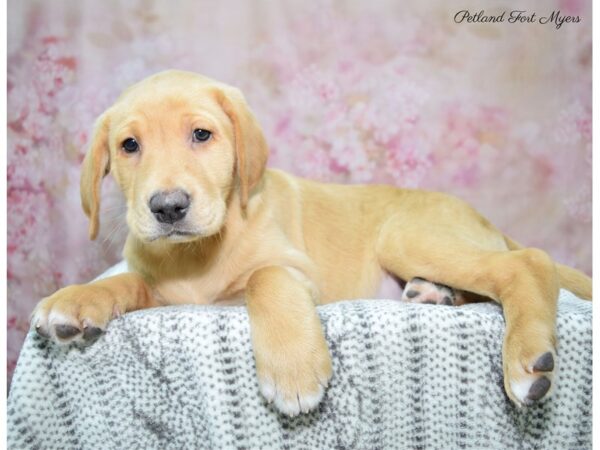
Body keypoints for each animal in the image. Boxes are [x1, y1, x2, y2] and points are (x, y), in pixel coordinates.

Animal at [31, 69, 592, 414]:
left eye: (202, 135)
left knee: (528, 262)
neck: (197, 253)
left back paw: (526, 357)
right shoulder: (163, 293)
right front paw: (76, 300)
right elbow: (128, 282)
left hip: (405, 235)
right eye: (129, 145)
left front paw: (293, 371)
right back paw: (435, 293)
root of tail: (483, 217)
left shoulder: (294, 269)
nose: (167, 207)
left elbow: (266, 277)